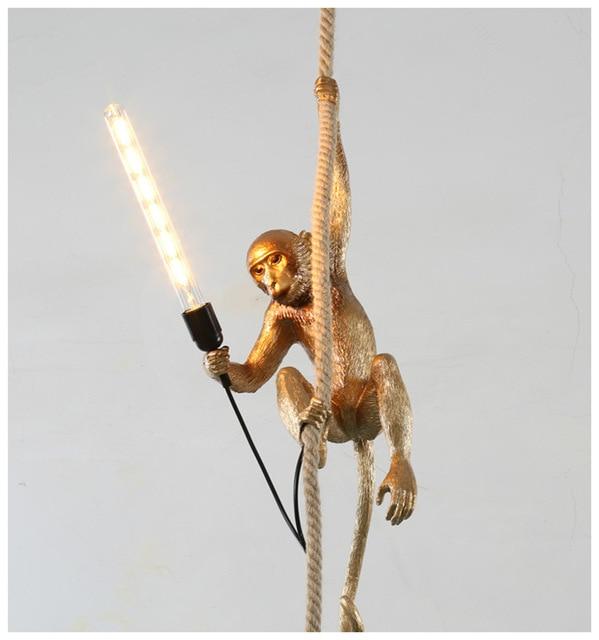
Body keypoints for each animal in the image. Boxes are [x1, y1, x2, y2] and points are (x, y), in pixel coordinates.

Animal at [204, 125, 416, 632]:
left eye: (275, 260)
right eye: (258, 270)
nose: (268, 279)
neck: (304, 297)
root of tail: (357, 435)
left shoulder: (330, 255)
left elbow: (338, 193)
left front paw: (328, 105)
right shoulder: (275, 313)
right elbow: (259, 375)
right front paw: (219, 366)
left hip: (367, 411)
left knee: (384, 366)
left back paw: (399, 470)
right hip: (341, 421)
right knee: (287, 375)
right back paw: (312, 444)